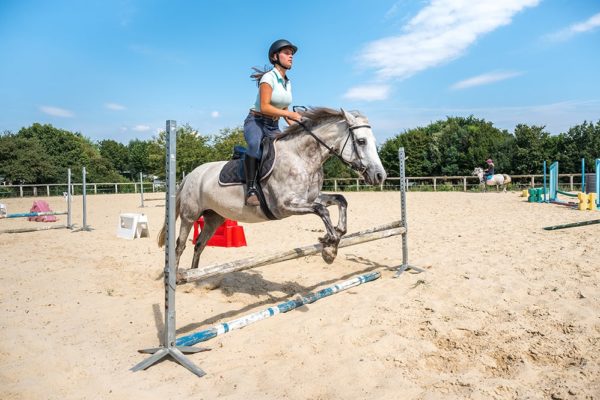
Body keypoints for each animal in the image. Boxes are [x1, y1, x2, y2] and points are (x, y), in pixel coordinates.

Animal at [157, 108, 386, 280]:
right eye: (362, 141)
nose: (380, 176)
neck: (302, 157)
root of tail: (191, 174)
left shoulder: (308, 199)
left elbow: (340, 200)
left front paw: (336, 235)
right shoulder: (285, 205)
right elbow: (322, 210)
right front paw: (329, 248)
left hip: (214, 217)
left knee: (199, 244)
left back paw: (198, 276)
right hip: (190, 216)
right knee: (179, 246)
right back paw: (177, 278)